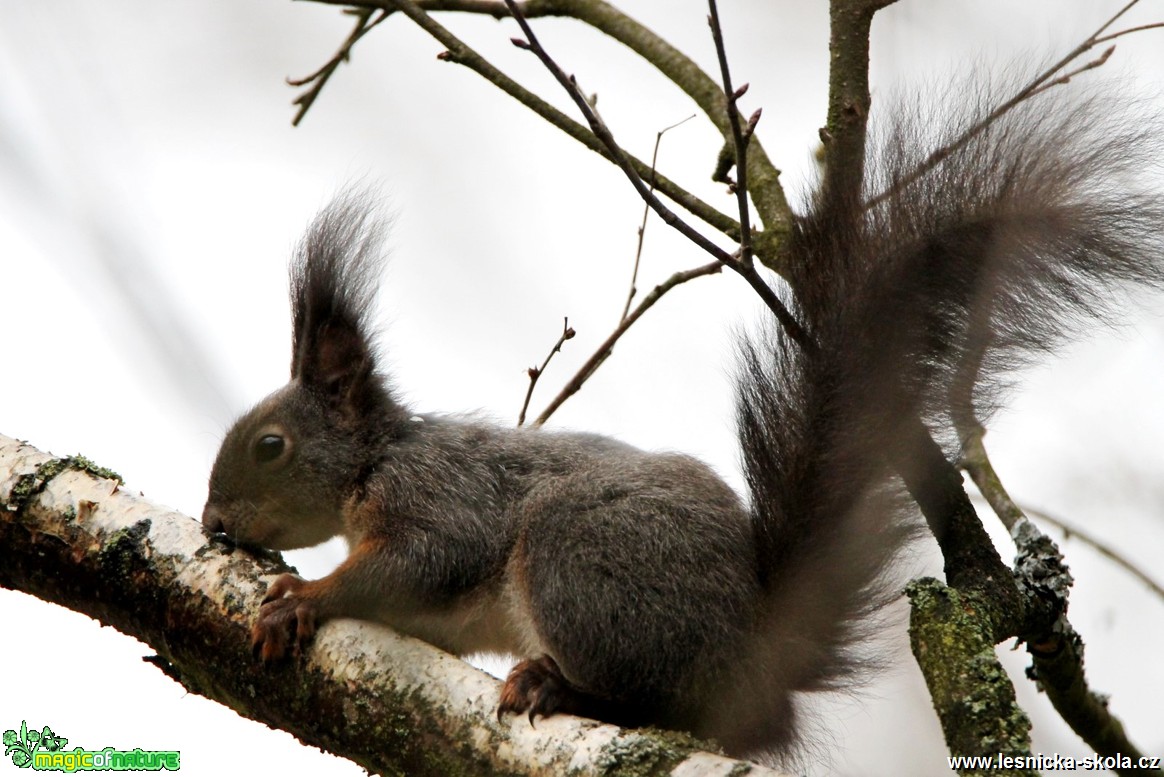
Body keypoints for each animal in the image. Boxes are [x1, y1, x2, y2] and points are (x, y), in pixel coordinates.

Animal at [202, 75, 1164, 763]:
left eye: (270, 445)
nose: (212, 523)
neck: (376, 459)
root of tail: (755, 653)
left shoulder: (441, 494)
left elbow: (419, 560)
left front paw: (302, 596)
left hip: (579, 561)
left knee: (656, 698)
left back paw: (559, 686)